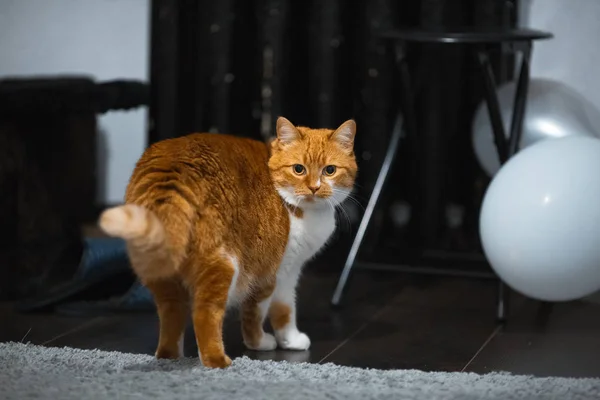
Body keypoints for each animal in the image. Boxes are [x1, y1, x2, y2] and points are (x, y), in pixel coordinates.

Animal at [98, 116, 356, 368]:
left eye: (330, 170)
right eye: (298, 169)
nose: (314, 188)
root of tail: (171, 172)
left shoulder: (288, 271)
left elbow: (284, 309)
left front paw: (288, 340)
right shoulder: (272, 271)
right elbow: (264, 312)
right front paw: (266, 342)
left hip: (162, 275)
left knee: (172, 315)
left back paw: (170, 357)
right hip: (224, 265)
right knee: (204, 314)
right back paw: (218, 362)